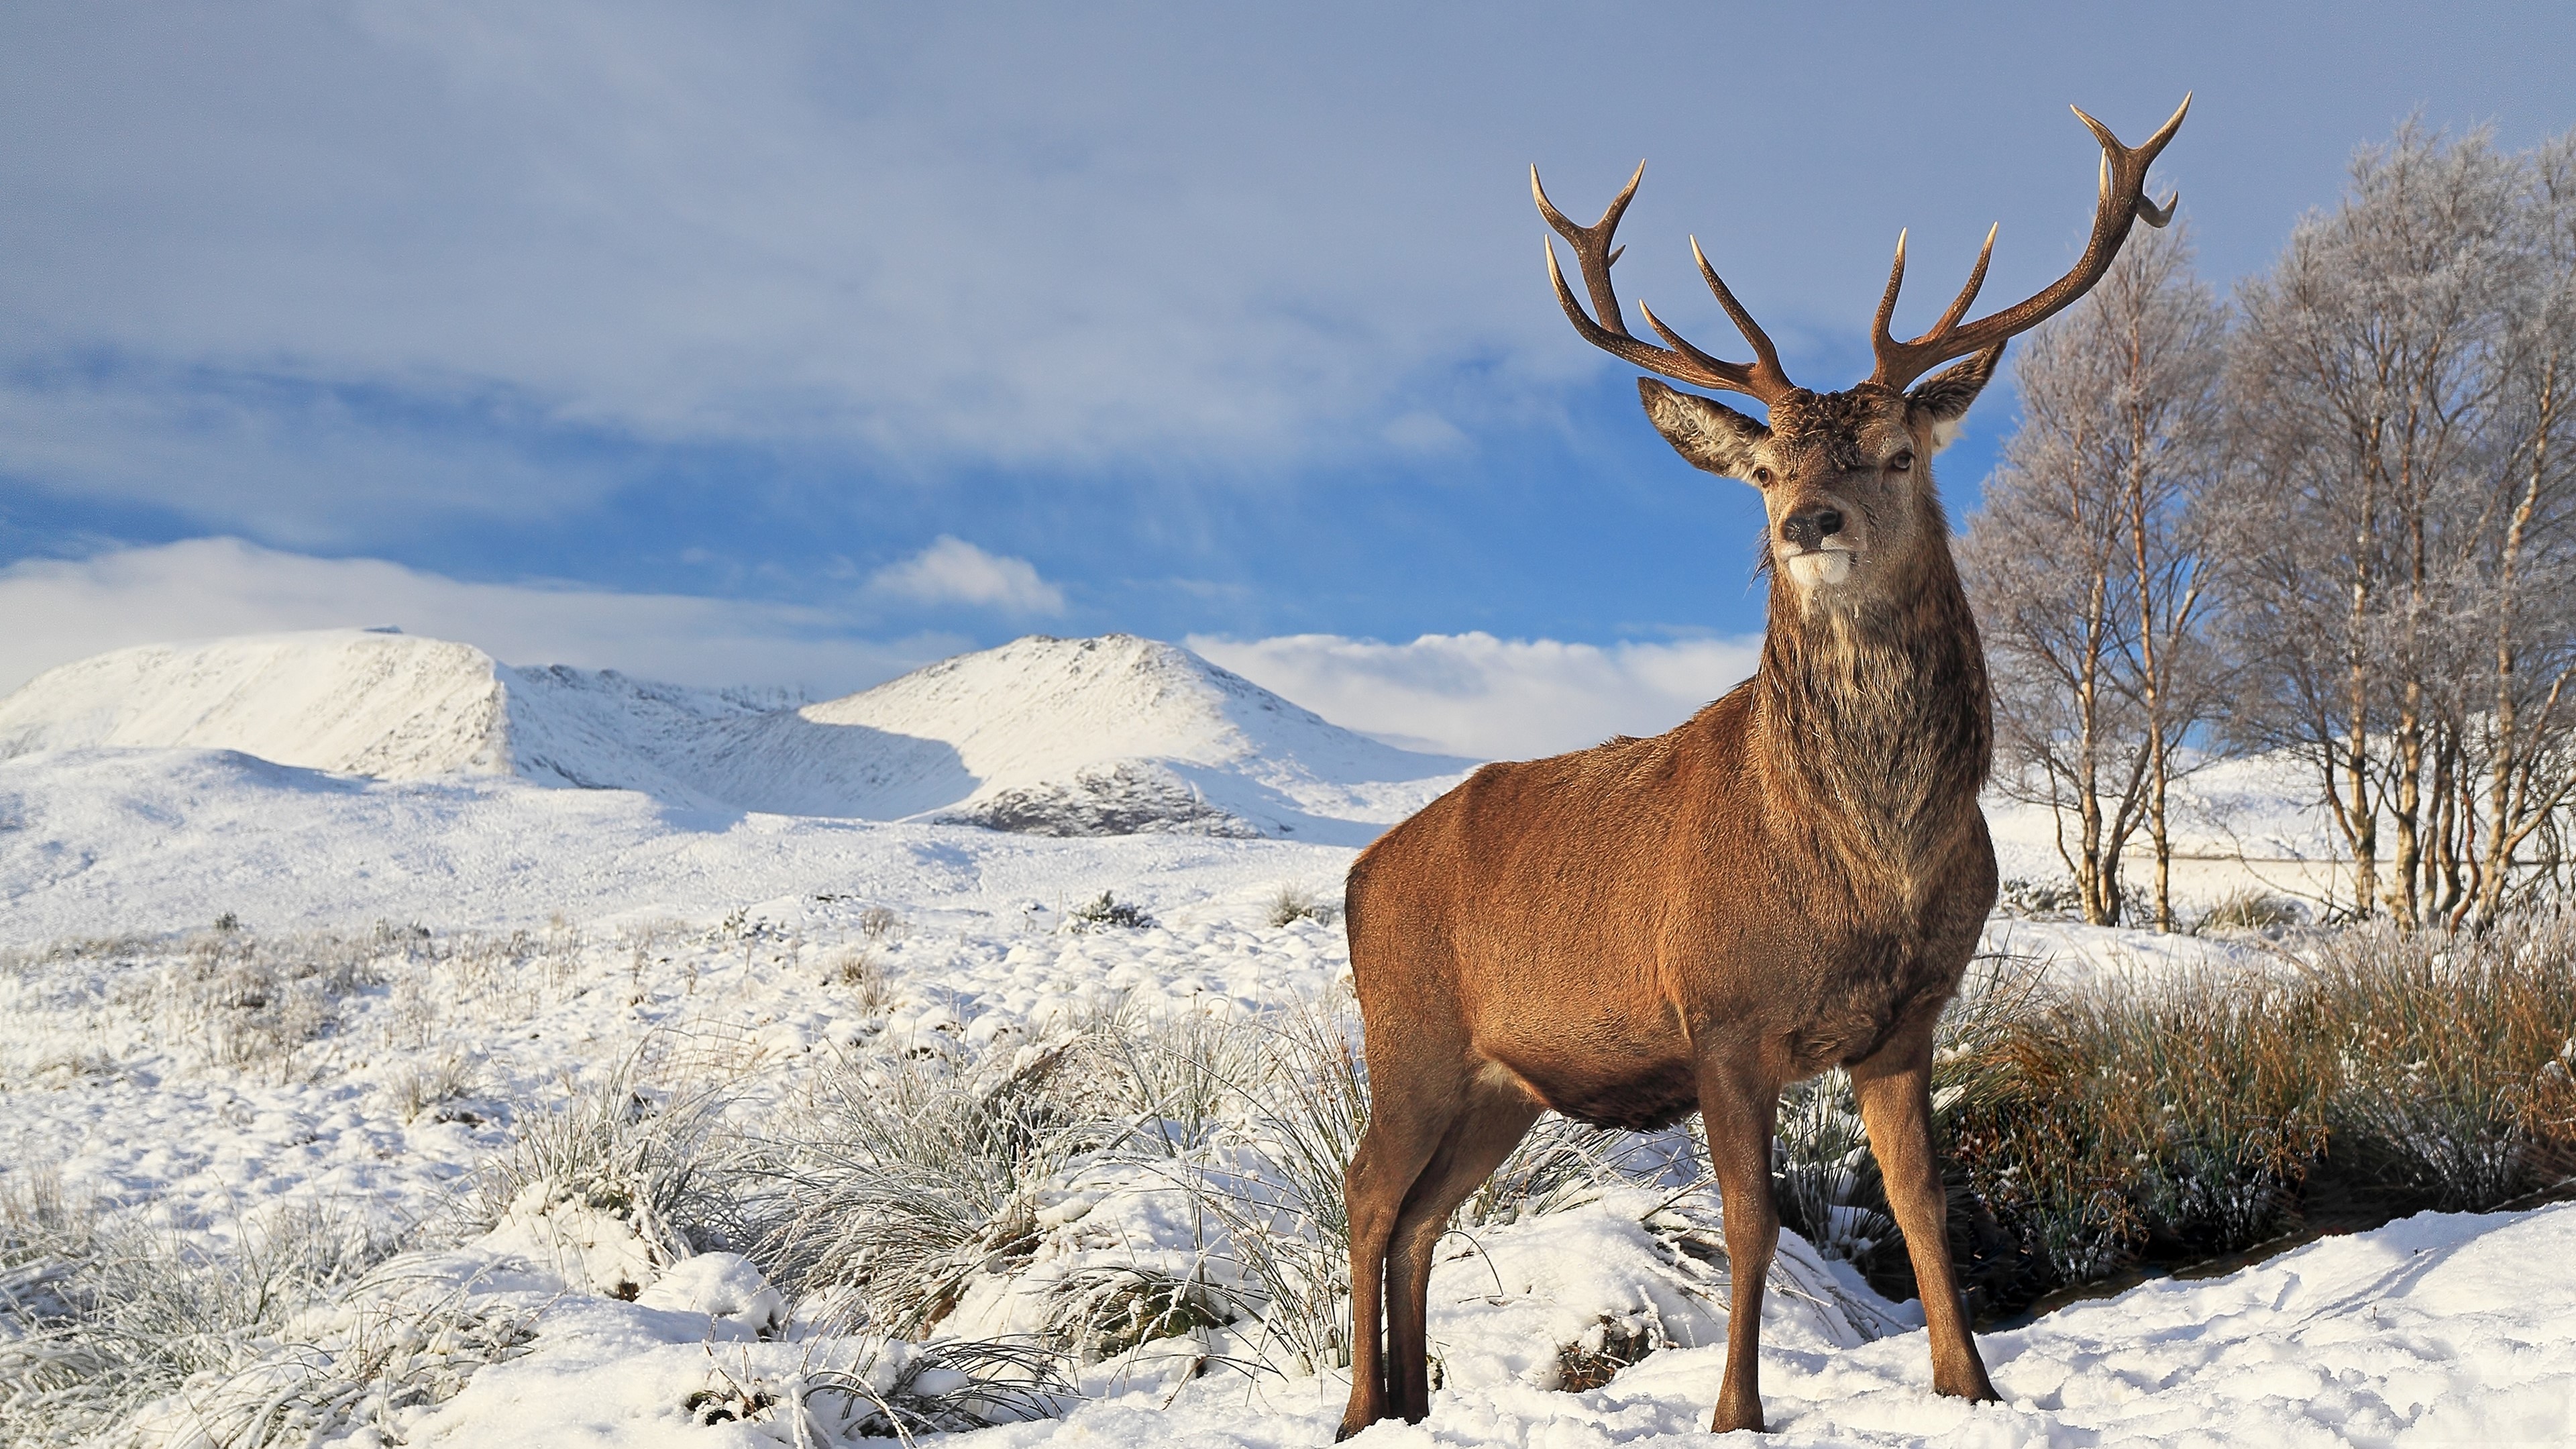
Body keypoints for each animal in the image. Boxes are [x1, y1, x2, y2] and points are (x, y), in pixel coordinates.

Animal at [1335, 96, 2188, 1440]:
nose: (1807, 524)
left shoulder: (1906, 1020)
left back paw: (1416, 1407)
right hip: (1408, 1032)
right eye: (1768, 466)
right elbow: (1751, 1226)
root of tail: (1359, 876)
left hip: (1503, 1082)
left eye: (1898, 452)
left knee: (1423, 1214)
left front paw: (1971, 1385)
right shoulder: (1721, 1016)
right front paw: (1737, 1410)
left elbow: (1922, 1207)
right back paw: (1362, 1408)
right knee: (1368, 1193)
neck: (1870, 864)